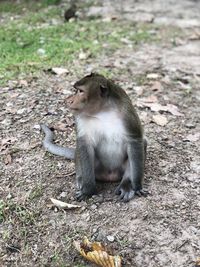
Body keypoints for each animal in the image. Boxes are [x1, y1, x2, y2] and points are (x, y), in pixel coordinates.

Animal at [41, 72, 147, 202]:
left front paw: (137, 187)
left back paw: (126, 184)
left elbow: (135, 140)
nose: (69, 100)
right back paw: (81, 178)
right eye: (76, 90)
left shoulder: (127, 114)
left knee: (143, 143)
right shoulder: (79, 117)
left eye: (80, 91)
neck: (102, 111)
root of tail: (109, 175)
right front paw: (88, 190)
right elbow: (84, 144)